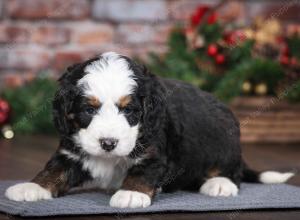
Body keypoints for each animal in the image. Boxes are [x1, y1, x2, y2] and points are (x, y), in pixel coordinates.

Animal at [5, 52, 296, 208]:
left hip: (224, 139)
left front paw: (131, 193)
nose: (108, 143)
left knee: (231, 171)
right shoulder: (72, 149)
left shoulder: (156, 151)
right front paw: (31, 187)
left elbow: (144, 170)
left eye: (129, 111)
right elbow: (55, 169)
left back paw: (219, 184)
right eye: (89, 110)